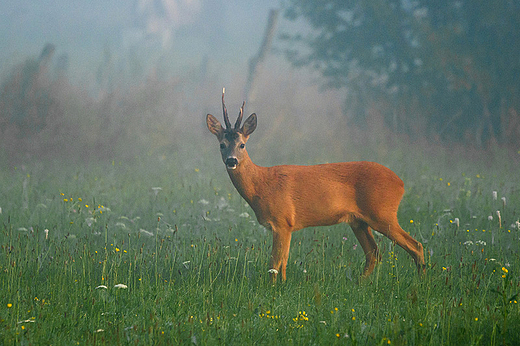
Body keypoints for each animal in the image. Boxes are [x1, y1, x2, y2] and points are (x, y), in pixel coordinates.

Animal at [205, 89, 424, 282]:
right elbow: (284, 261)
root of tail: (401, 183)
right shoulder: (287, 226)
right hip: (359, 221)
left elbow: (275, 262)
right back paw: (359, 283)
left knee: (416, 245)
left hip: (382, 213)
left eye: (242, 145)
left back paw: (421, 281)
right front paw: (283, 285)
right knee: (374, 253)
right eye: (222, 145)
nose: (231, 161)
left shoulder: (282, 221)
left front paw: (273, 288)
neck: (261, 186)